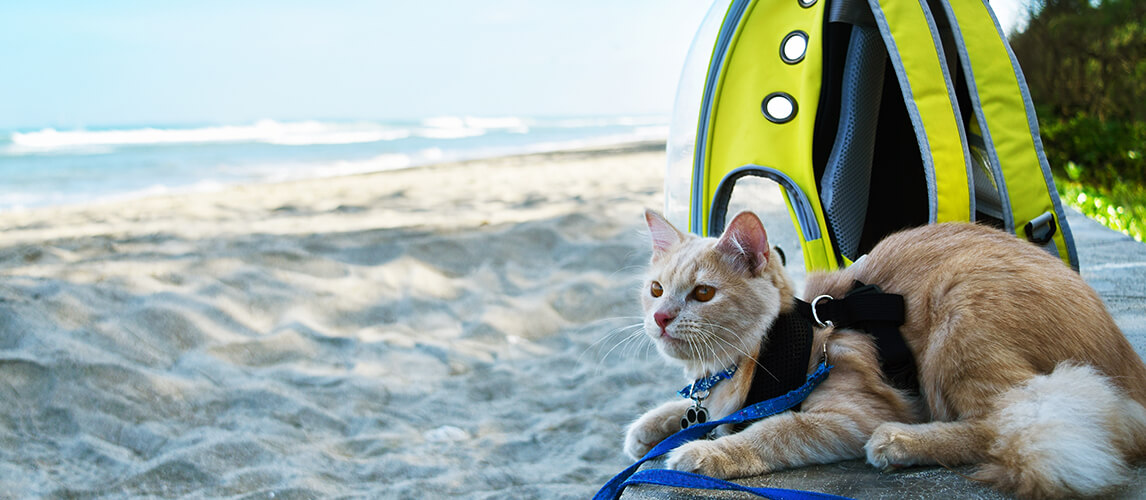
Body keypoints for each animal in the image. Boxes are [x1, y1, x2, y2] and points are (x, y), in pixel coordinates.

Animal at [623, 208, 1146, 497]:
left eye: (703, 294)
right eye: (656, 290)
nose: (661, 318)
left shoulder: (849, 416)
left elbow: (770, 433)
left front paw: (700, 452)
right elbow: (688, 410)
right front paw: (650, 429)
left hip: (962, 315)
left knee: (997, 424)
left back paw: (900, 444)